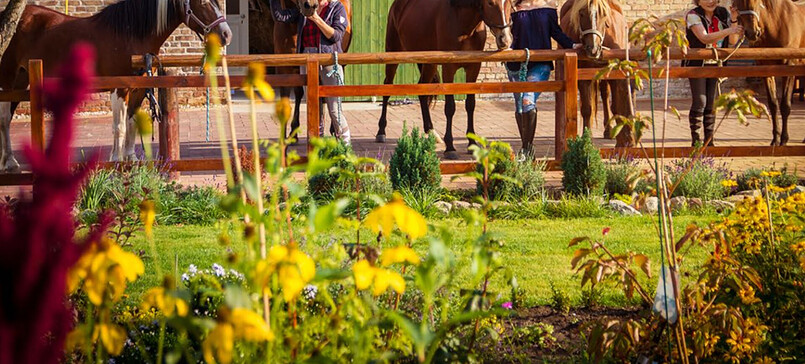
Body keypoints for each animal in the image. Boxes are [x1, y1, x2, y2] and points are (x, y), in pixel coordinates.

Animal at [0, 0, 232, 171]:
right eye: (203, 2)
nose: (226, 34)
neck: (130, 34)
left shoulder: (139, 89)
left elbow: (131, 122)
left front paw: (130, 159)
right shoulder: (119, 88)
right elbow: (118, 126)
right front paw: (115, 160)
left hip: (21, 81)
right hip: (8, 79)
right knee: (4, 119)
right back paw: (10, 162)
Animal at [378, 0, 516, 159]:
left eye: (510, 3)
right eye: (490, 3)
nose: (505, 39)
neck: (464, 23)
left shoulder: (474, 68)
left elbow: (470, 105)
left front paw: (472, 143)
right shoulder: (448, 68)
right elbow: (450, 107)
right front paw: (450, 147)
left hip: (429, 63)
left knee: (422, 91)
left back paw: (431, 132)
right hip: (393, 53)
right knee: (387, 88)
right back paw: (381, 132)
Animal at [560, 0, 636, 146]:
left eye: (603, 15)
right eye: (581, 13)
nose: (593, 49)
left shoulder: (613, 74)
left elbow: (615, 106)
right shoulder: (582, 77)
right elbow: (587, 109)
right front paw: (587, 137)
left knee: (605, 95)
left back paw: (609, 130)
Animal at [736, 0, 804, 146]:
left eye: (757, 1)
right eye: (737, 2)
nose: (752, 33)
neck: (776, 23)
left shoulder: (790, 66)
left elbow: (785, 105)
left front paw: (784, 139)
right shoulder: (766, 68)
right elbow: (773, 104)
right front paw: (775, 139)